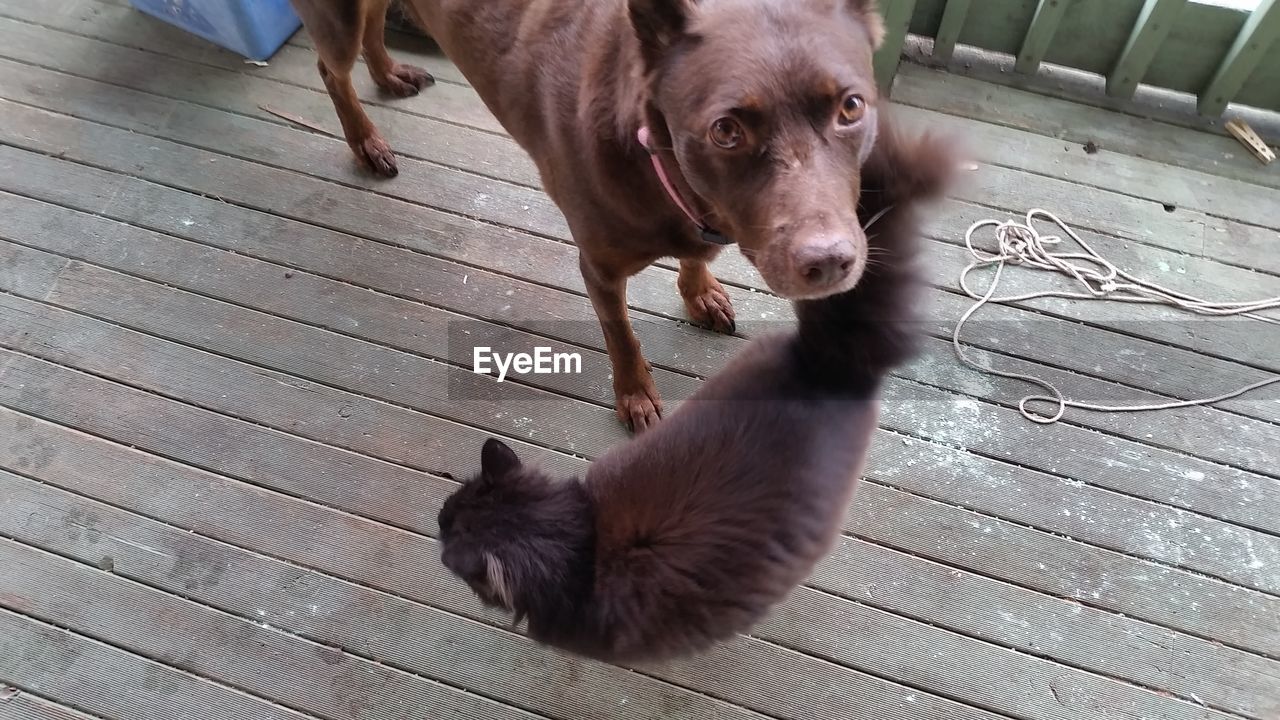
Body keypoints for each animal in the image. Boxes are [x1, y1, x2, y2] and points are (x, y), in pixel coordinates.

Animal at [290, 0, 890, 425]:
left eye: (851, 107)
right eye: (726, 130)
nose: (829, 264)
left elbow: (697, 257)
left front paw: (699, 291)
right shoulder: (597, 267)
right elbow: (620, 334)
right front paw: (636, 396)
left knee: (373, 25)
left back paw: (387, 74)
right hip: (336, 19)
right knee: (330, 67)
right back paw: (365, 141)